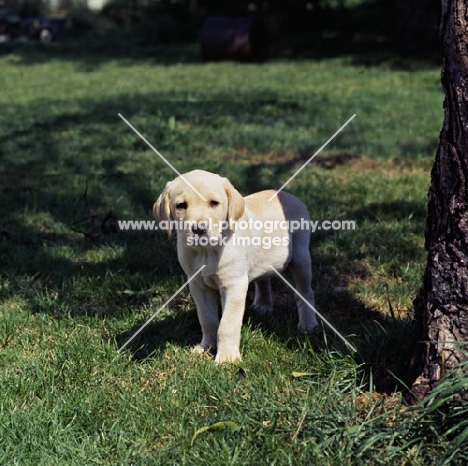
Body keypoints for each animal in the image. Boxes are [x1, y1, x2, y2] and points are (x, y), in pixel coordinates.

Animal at [154, 169, 318, 362]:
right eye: (181, 205)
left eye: (214, 203)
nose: (199, 229)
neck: (206, 252)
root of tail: (287, 194)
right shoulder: (198, 286)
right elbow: (207, 319)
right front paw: (206, 347)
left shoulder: (233, 285)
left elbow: (227, 325)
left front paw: (227, 359)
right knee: (263, 279)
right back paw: (263, 305)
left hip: (300, 258)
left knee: (305, 292)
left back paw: (308, 324)